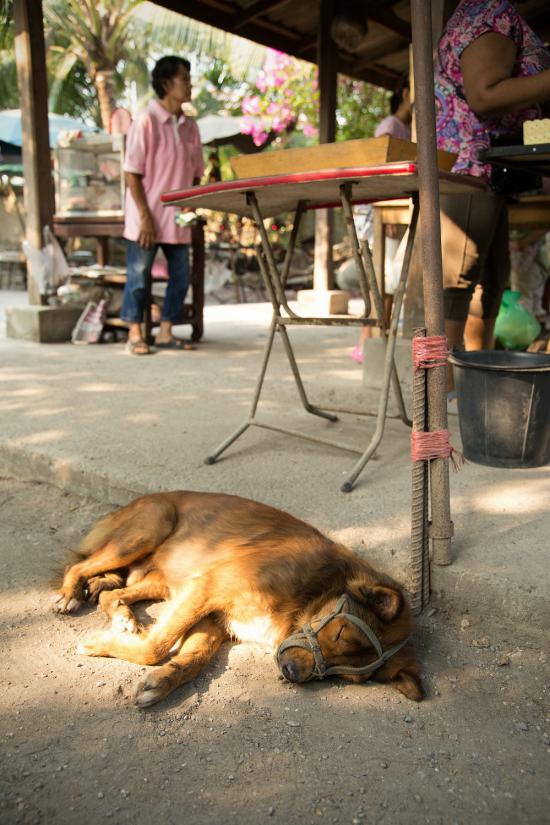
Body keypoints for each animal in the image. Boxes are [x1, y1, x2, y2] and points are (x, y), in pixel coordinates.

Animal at [54, 490, 424, 708]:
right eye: (340, 632)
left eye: (346, 676)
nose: (290, 672)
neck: (315, 589)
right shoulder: (209, 587)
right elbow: (157, 646)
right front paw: (99, 644)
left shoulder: (213, 618)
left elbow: (194, 658)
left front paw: (162, 681)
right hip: (149, 529)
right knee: (79, 565)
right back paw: (68, 595)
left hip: (164, 582)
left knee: (114, 591)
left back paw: (122, 616)